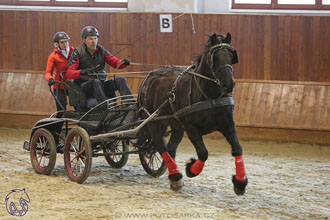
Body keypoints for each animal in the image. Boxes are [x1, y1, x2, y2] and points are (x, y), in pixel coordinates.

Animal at [137, 32, 248, 194]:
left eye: (231, 55)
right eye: (215, 57)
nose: (228, 84)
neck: (210, 96)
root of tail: (149, 77)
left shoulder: (228, 125)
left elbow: (237, 149)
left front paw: (240, 182)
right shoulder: (191, 127)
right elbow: (203, 152)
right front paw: (191, 169)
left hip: (175, 125)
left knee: (170, 149)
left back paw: (174, 177)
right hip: (152, 120)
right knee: (161, 146)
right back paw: (176, 176)